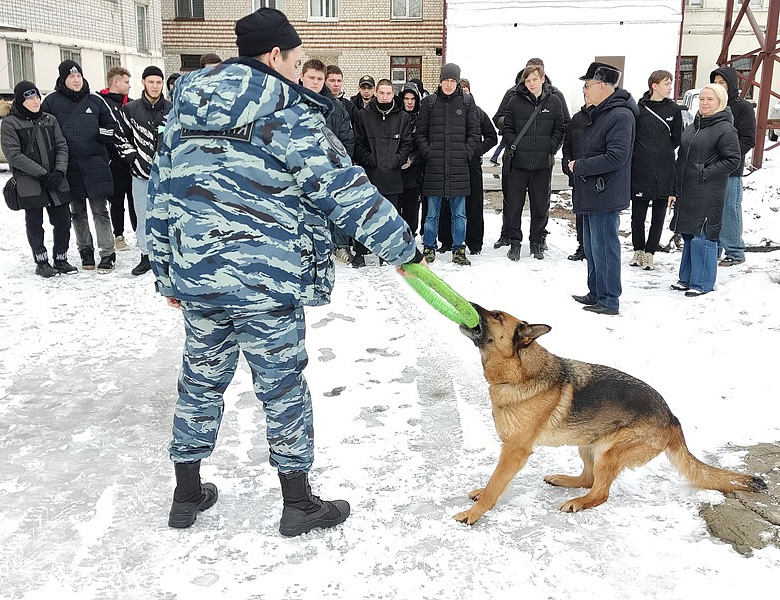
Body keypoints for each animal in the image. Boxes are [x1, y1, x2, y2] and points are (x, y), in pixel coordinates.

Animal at [454, 304, 764, 524]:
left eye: (496, 315)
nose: (471, 303)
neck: (519, 373)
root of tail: (673, 418)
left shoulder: (515, 450)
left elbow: (496, 482)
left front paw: (475, 511)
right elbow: (496, 481)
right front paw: (481, 494)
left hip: (609, 451)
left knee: (601, 491)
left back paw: (579, 501)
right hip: (587, 443)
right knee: (588, 478)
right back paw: (564, 480)